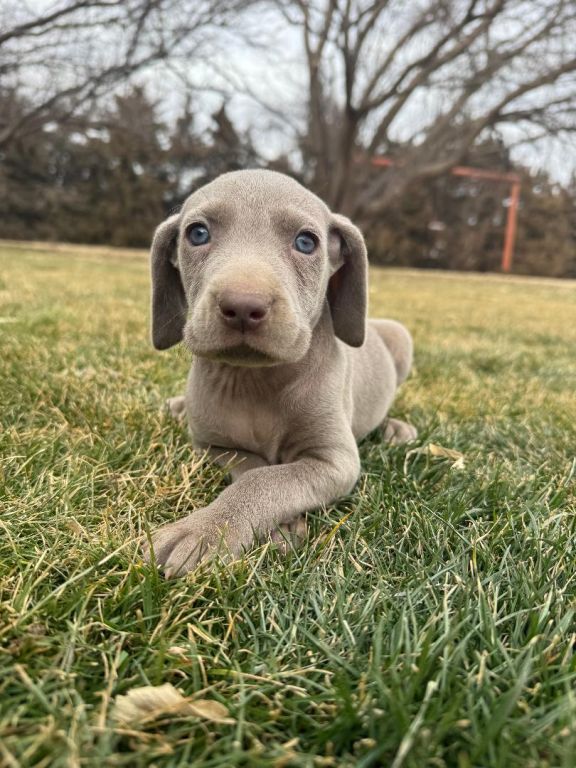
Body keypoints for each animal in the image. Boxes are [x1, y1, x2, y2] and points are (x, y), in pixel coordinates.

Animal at [144, 169, 416, 577]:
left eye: (305, 242)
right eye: (198, 233)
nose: (243, 305)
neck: (256, 379)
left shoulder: (335, 461)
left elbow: (269, 478)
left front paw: (205, 532)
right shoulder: (210, 445)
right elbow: (254, 467)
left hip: (400, 336)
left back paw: (395, 428)